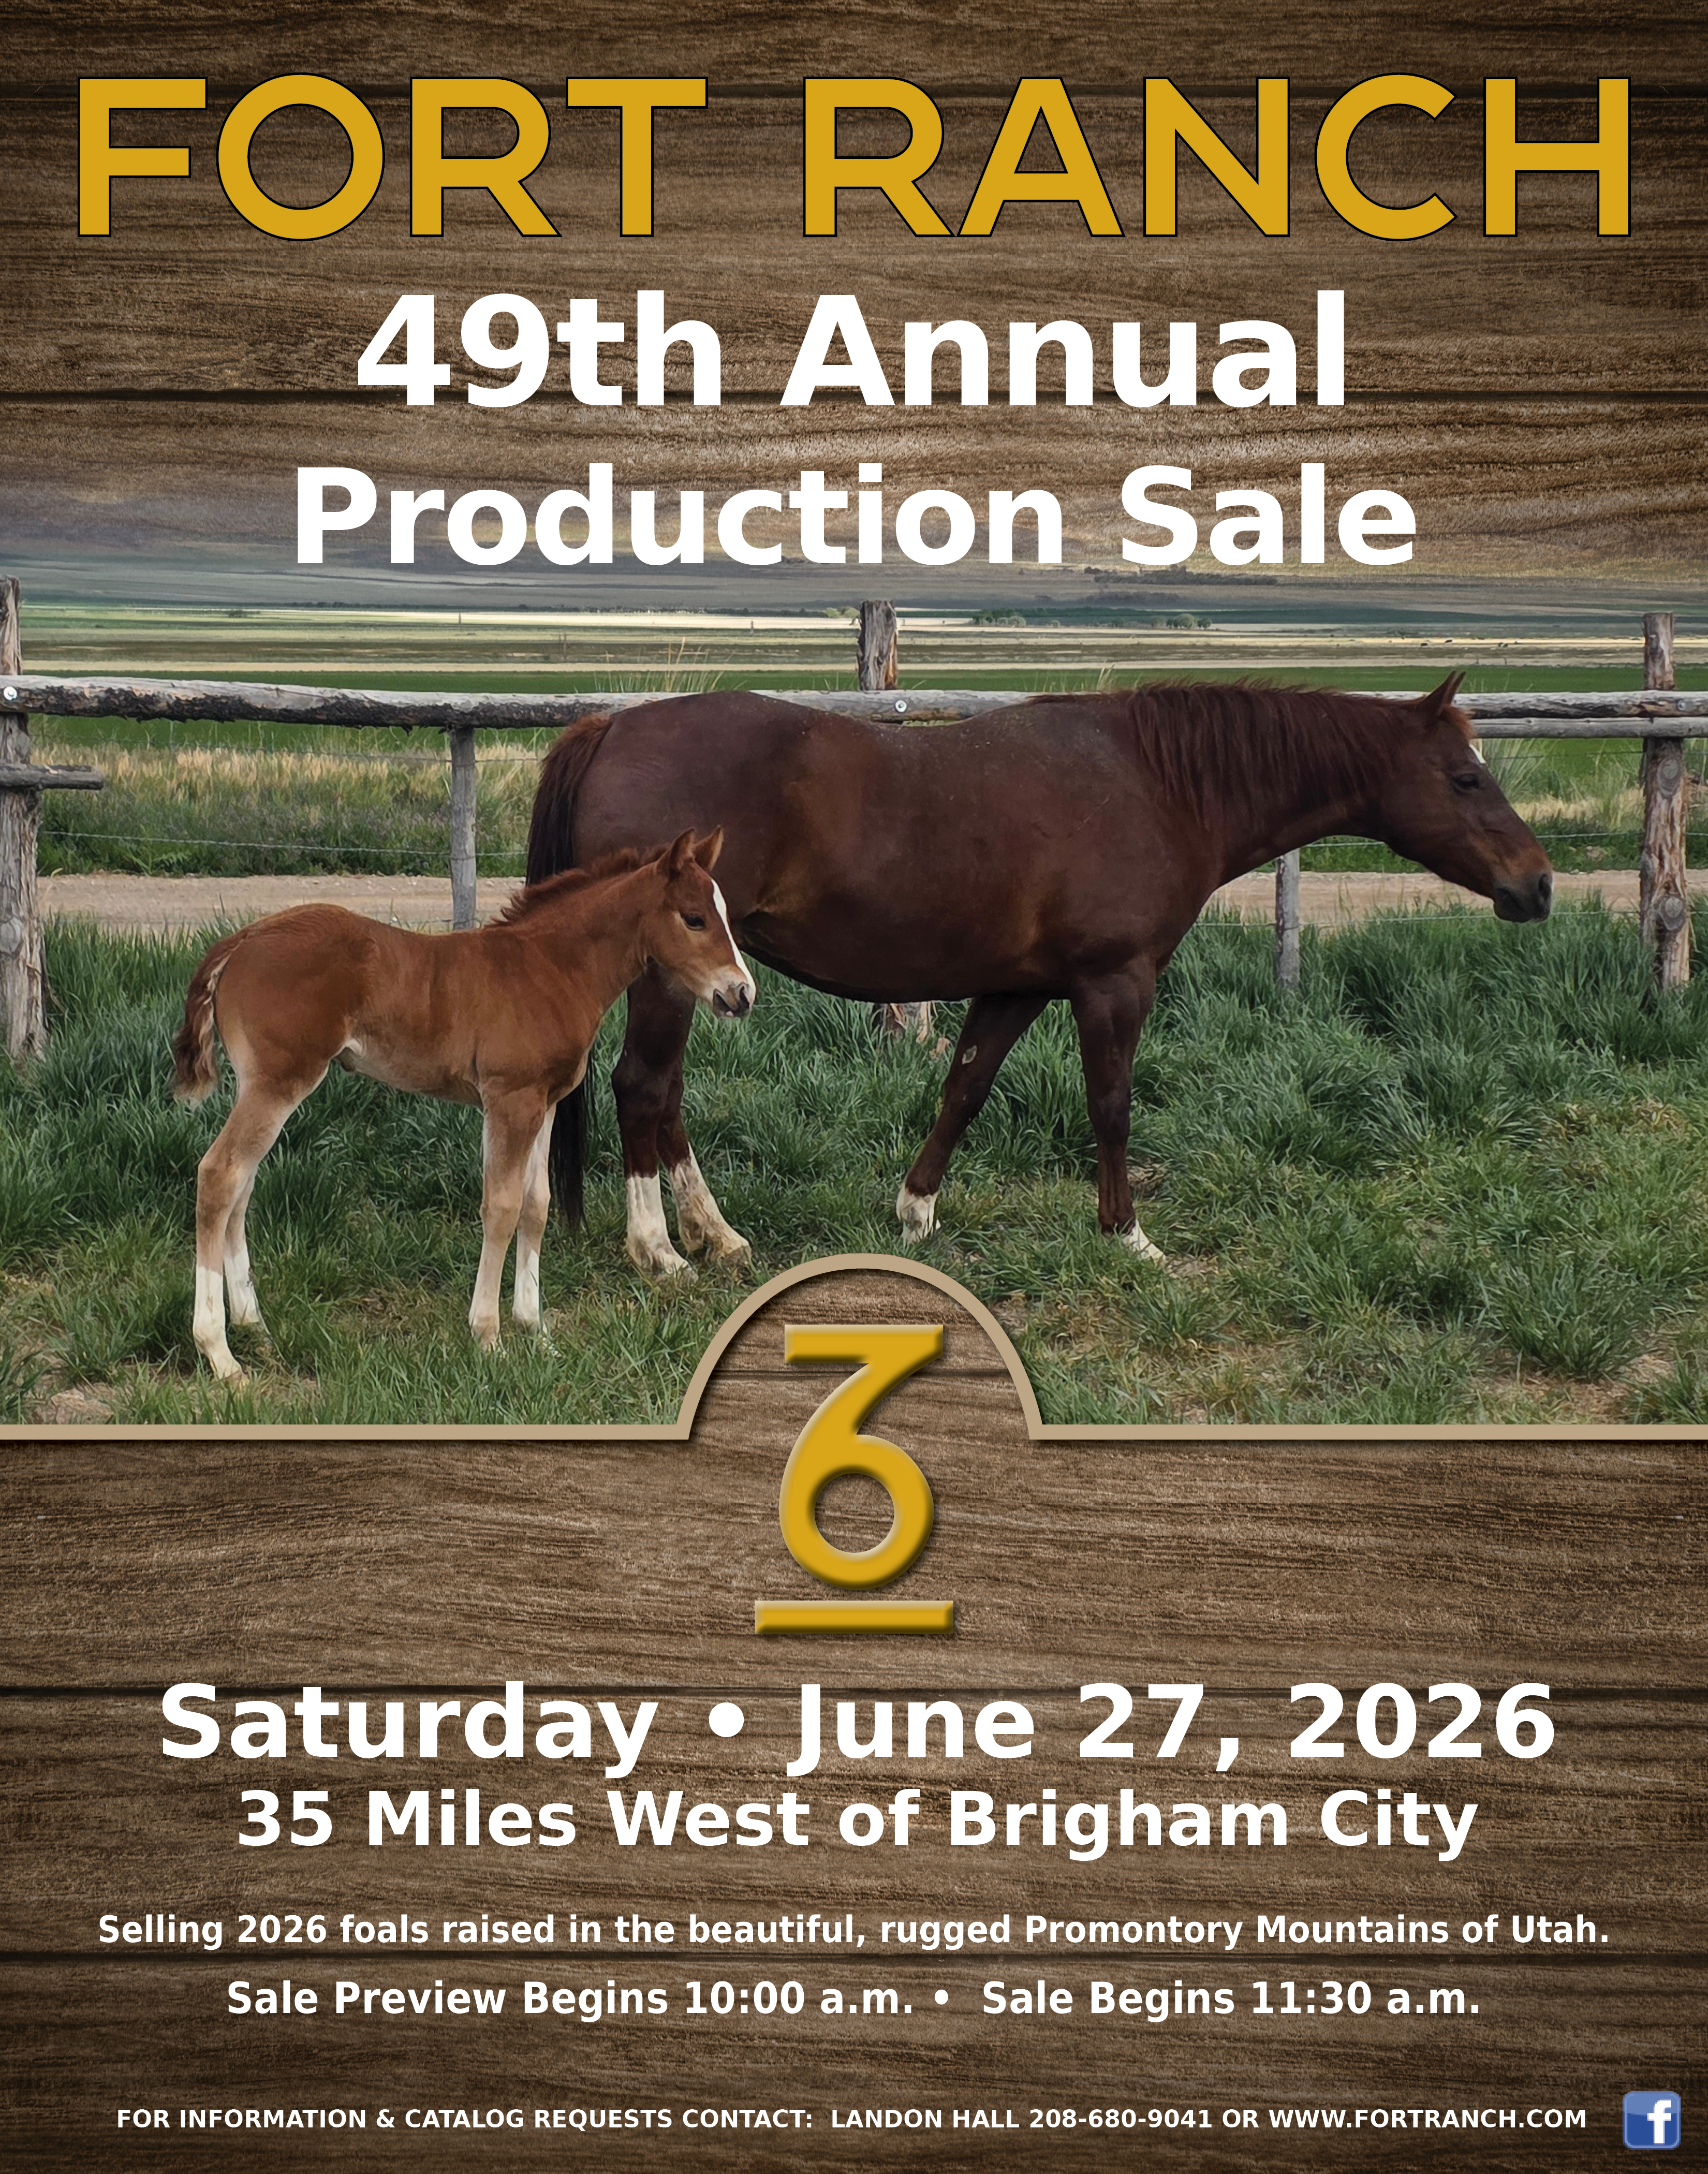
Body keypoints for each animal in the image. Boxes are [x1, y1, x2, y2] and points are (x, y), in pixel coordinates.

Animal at [170, 830, 755, 1382]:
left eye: (725, 915)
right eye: (695, 918)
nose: (742, 994)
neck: (551, 967)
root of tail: (240, 941)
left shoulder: (543, 1103)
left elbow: (536, 1206)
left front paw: (536, 1332)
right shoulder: (510, 1101)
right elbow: (500, 1208)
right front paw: (488, 1337)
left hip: (262, 1087)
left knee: (240, 1188)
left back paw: (255, 1328)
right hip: (279, 1082)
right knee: (220, 1175)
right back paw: (220, 1354)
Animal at [525, 678, 1552, 1276]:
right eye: (1465, 778)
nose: (1536, 885)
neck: (1161, 782)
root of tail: (611, 727)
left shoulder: (1016, 987)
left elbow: (965, 1086)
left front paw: (915, 1213)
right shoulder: (1113, 984)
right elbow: (1112, 1106)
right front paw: (1129, 1236)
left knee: (665, 1097)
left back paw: (719, 1237)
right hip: (670, 980)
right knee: (643, 1087)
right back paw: (661, 1253)